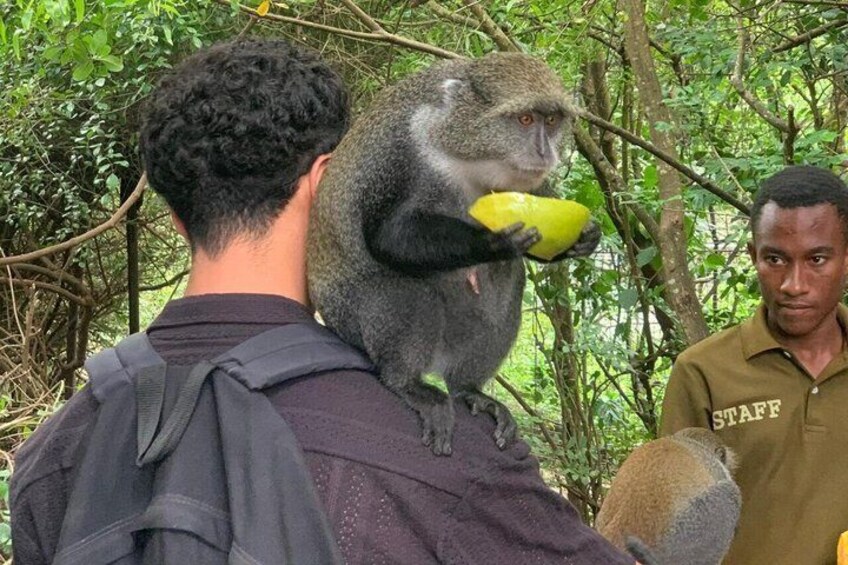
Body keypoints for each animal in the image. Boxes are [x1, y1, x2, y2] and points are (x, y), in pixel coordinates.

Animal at [307, 52, 601, 456]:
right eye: (525, 119)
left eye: (552, 121)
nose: (545, 152)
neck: (463, 150)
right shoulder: (403, 150)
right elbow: (388, 236)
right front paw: (490, 242)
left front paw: (585, 238)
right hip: (351, 318)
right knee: (406, 289)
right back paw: (407, 382)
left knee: (507, 280)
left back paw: (470, 390)